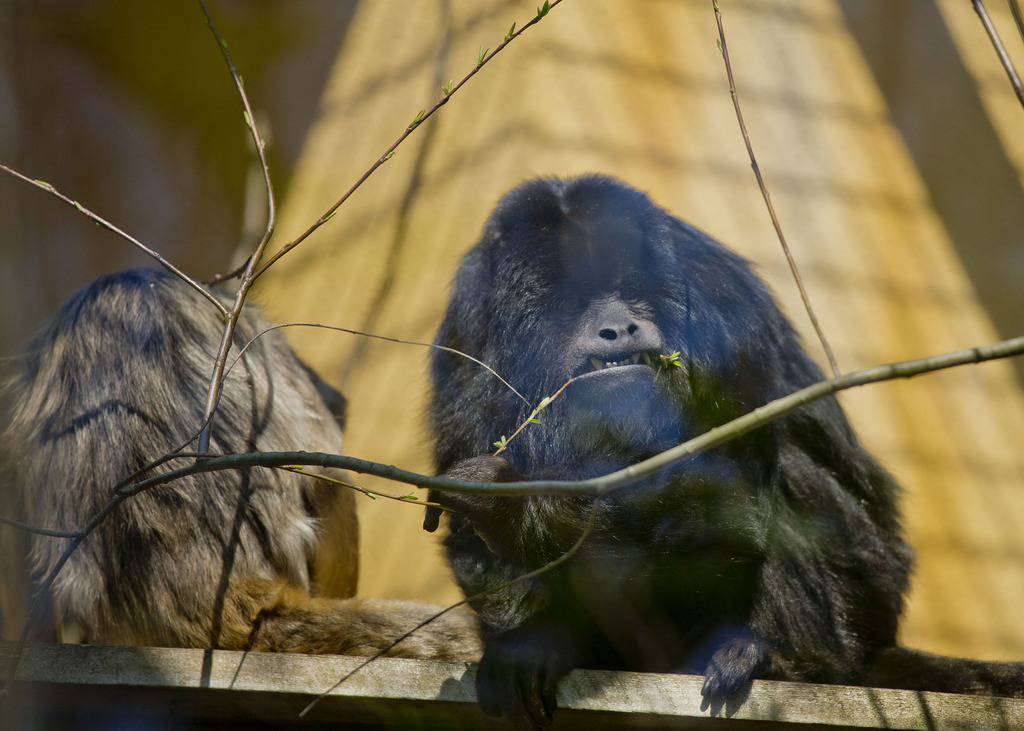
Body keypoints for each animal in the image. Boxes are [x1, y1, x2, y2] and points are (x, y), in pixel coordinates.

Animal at [421, 175, 1024, 724]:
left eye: (631, 290)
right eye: (576, 301)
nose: (618, 327)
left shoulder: (723, 307)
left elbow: (729, 498)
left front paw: (518, 506)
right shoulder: (470, 332)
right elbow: (469, 535)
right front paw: (535, 637)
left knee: (790, 472)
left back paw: (771, 656)